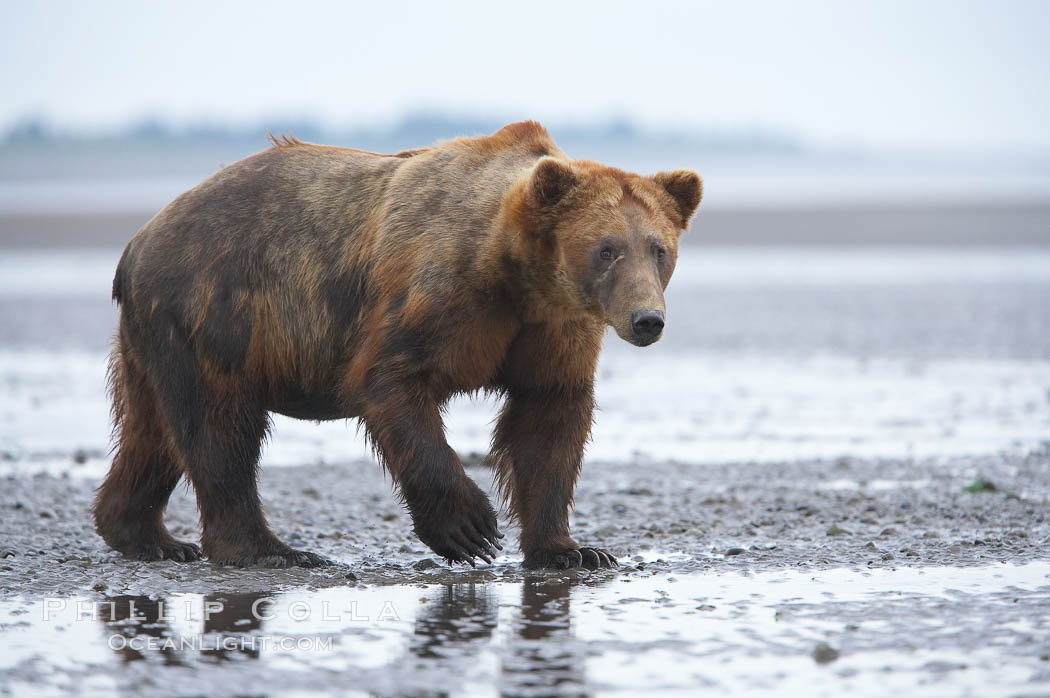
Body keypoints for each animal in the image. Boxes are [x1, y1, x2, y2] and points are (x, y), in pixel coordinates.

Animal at [94, 122, 701, 570]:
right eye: (607, 249)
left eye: (659, 248)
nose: (647, 320)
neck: (516, 274)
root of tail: (137, 242)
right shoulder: (438, 293)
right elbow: (391, 383)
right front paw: (470, 529)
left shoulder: (553, 329)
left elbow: (549, 422)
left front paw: (573, 550)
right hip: (214, 311)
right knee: (221, 429)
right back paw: (270, 550)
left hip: (157, 339)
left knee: (154, 433)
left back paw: (147, 535)